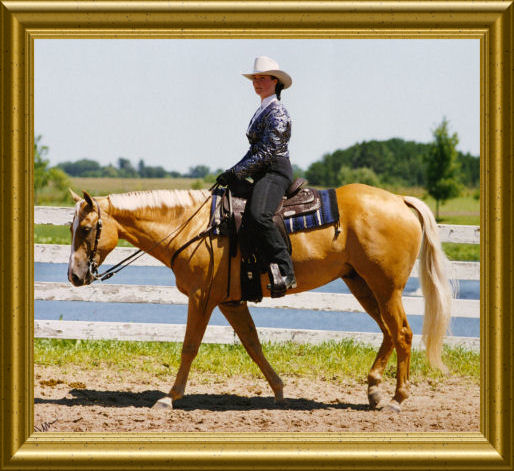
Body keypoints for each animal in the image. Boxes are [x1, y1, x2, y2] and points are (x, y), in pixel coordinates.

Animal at [67, 184, 448, 412]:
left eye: (84, 229)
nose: (74, 275)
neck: (196, 228)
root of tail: (400, 200)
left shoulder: (202, 298)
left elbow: (189, 347)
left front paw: (169, 398)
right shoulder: (229, 301)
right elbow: (252, 344)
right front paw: (279, 390)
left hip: (386, 288)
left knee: (401, 333)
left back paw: (397, 399)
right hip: (362, 284)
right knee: (388, 332)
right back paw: (374, 391)